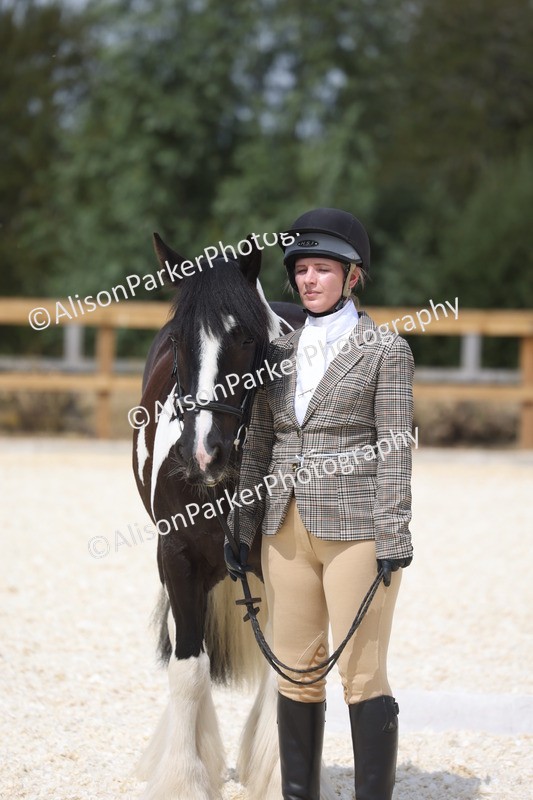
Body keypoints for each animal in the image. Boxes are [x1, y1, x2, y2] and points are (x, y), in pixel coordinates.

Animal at [132, 232, 324, 800]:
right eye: (178, 339)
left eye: (243, 338)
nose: (202, 454)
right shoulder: (176, 558)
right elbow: (189, 670)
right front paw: (184, 778)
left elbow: (286, 670)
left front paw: (278, 776)